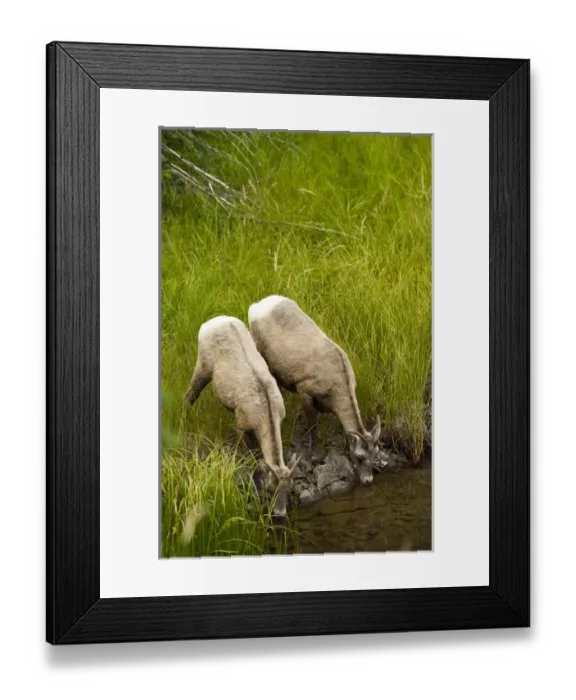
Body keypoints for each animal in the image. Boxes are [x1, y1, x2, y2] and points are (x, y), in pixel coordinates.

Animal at [184, 315, 300, 517]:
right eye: (271, 489)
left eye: (289, 489)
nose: (279, 514)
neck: (266, 416)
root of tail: (214, 320)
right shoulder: (241, 425)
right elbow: (253, 456)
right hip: (203, 365)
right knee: (191, 392)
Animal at [248, 296, 381, 485]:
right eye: (360, 456)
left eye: (374, 454)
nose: (368, 480)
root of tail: (257, 306)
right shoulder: (305, 392)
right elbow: (313, 425)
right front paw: (315, 457)